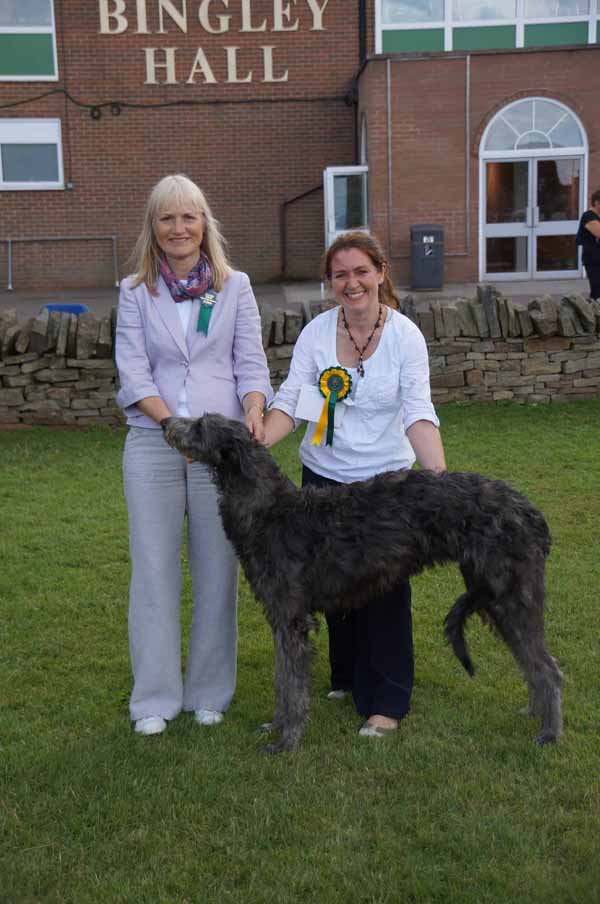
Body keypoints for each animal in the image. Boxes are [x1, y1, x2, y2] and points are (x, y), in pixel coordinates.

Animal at [161, 414, 564, 752]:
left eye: (199, 425)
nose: (165, 422)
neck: (270, 510)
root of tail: (533, 514)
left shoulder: (292, 621)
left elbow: (292, 684)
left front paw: (287, 740)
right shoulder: (281, 619)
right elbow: (282, 680)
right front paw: (275, 726)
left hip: (512, 596)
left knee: (550, 669)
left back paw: (549, 732)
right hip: (497, 599)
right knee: (534, 664)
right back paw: (535, 713)